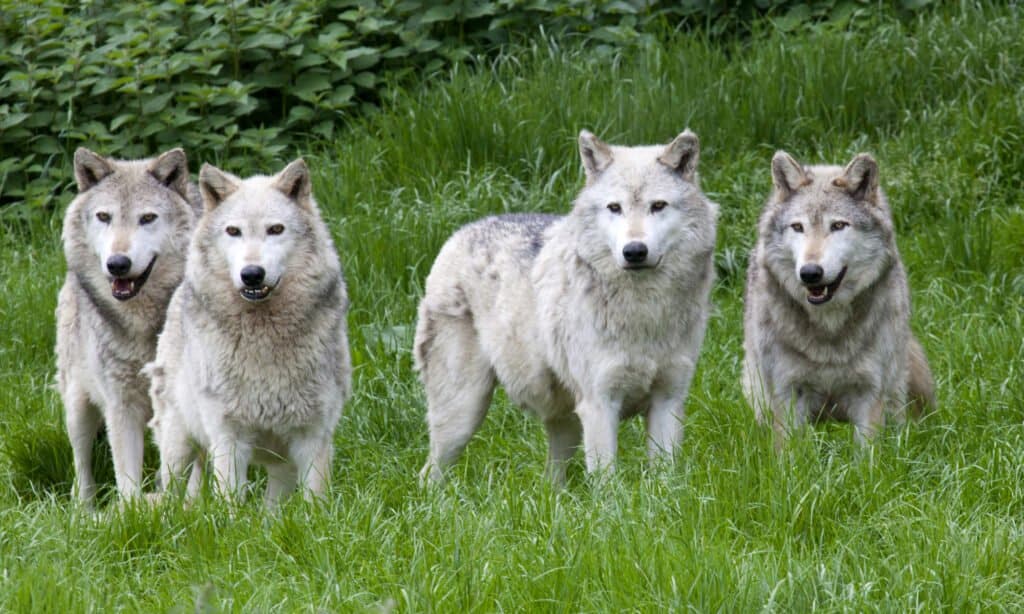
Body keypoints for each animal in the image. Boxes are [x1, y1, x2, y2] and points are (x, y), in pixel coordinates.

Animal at [54, 147, 199, 503]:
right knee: (81, 466)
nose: (117, 264)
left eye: (147, 218)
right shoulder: (121, 406)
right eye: (104, 217)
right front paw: (133, 514)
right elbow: (127, 479)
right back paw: (84, 509)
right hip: (77, 405)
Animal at [142, 159, 352, 503]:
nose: (252, 274)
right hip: (178, 444)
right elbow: (230, 503)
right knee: (171, 495)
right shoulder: (228, 436)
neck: (263, 335)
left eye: (276, 229)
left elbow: (315, 503)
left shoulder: (314, 436)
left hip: (280, 466)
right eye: (233, 231)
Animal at [415, 130, 720, 485]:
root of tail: (460, 233)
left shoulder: (668, 401)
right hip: (463, 414)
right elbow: (607, 484)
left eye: (658, 206)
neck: (645, 311)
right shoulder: (600, 404)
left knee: (551, 481)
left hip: (565, 424)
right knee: (428, 474)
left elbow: (665, 480)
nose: (634, 251)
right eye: (614, 208)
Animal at [745, 151, 937, 444]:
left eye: (838, 225)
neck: (829, 330)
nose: (810, 273)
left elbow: (868, 453)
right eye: (798, 227)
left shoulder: (870, 393)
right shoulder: (787, 392)